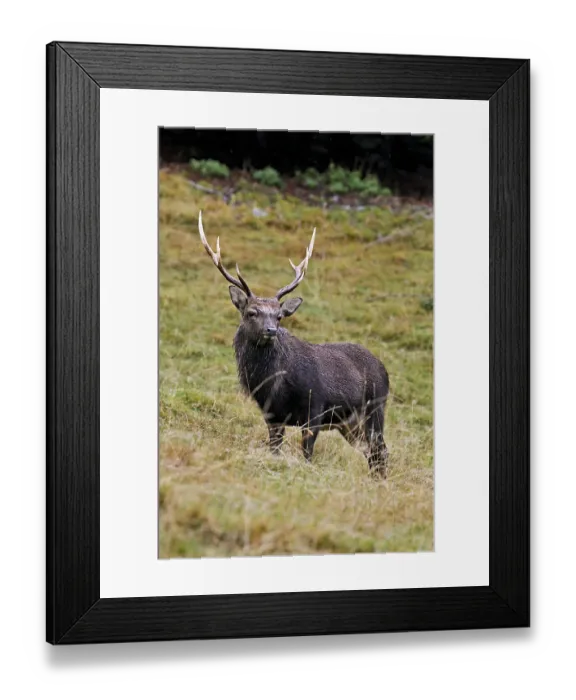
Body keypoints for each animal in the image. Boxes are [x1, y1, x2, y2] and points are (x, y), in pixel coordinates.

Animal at [198, 211, 390, 477]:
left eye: (279, 316)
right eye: (252, 312)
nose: (271, 330)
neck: (275, 386)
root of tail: (385, 370)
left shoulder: (315, 409)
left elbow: (307, 455)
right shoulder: (272, 415)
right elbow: (274, 450)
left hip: (375, 407)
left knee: (380, 450)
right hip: (350, 423)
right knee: (372, 451)